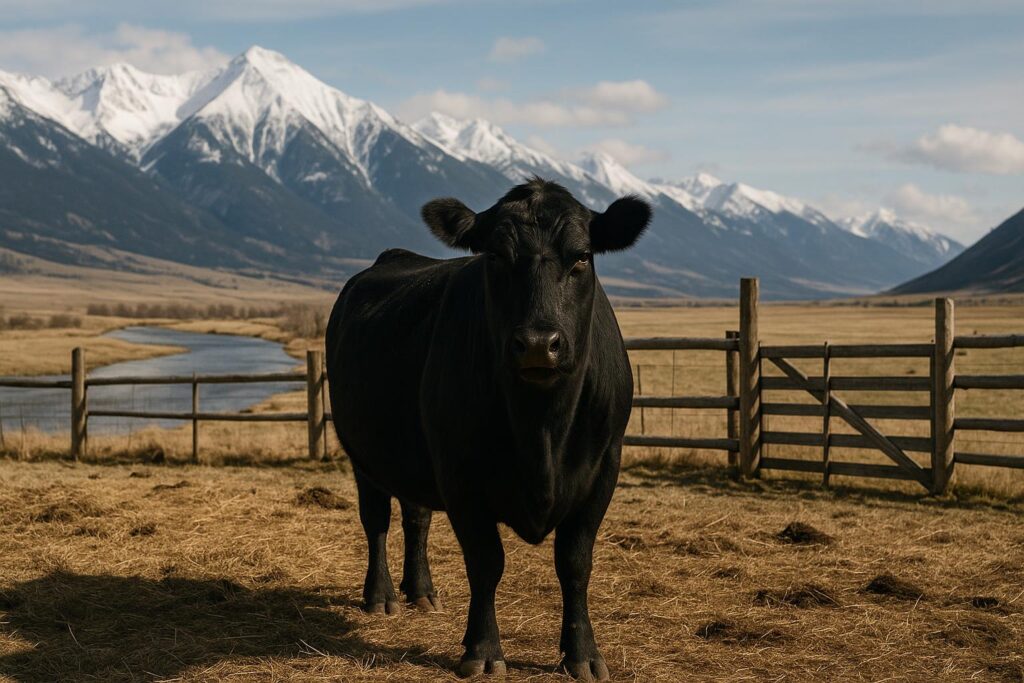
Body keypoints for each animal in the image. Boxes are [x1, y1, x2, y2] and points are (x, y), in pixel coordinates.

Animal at [326, 177, 650, 680]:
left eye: (581, 256)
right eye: (495, 256)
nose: (538, 343)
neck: (542, 431)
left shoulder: (604, 467)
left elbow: (575, 563)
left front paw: (582, 654)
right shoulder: (460, 473)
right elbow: (485, 563)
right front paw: (482, 651)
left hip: (413, 454)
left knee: (416, 517)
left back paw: (421, 591)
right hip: (363, 453)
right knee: (376, 519)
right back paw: (381, 596)